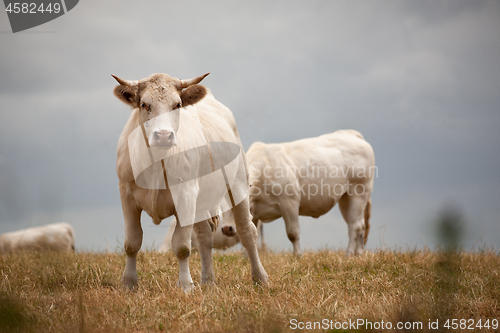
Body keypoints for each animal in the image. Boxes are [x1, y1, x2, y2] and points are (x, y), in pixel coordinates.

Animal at [113, 71, 268, 290]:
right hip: (202, 200)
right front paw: (128, 283)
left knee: (247, 231)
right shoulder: (127, 195)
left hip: (237, 186)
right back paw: (208, 280)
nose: (163, 135)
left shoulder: (185, 196)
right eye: (144, 104)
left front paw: (186, 285)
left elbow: (182, 247)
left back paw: (259, 277)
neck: (156, 162)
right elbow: (132, 243)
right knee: (204, 237)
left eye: (177, 104)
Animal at [221, 130, 374, 254]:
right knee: (358, 224)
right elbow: (251, 234)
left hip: (359, 192)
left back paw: (349, 253)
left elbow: (293, 233)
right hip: (345, 198)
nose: (227, 228)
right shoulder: (255, 212)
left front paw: (297, 255)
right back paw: (358, 253)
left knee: (355, 225)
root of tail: (352, 134)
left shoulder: (290, 202)